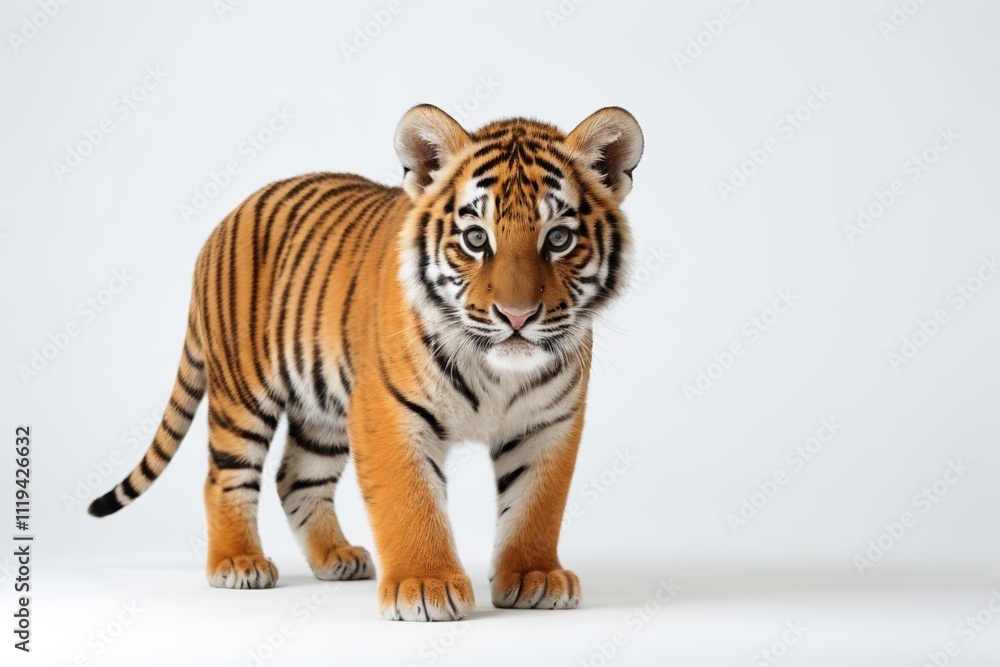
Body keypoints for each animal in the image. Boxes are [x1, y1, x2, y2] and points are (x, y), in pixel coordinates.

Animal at [88, 104, 643, 621]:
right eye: (476, 239)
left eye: (558, 239)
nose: (517, 316)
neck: (496, 372)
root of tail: (227, 219)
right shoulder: (389, 411)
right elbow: (410, 501)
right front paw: (425, 585)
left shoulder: (549, 423)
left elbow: (536, 504)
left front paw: (533, 576)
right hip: (242, 394)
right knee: (225, 476)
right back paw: (238, 563)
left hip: (323, 408)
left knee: (295, 478)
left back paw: (335, 557)